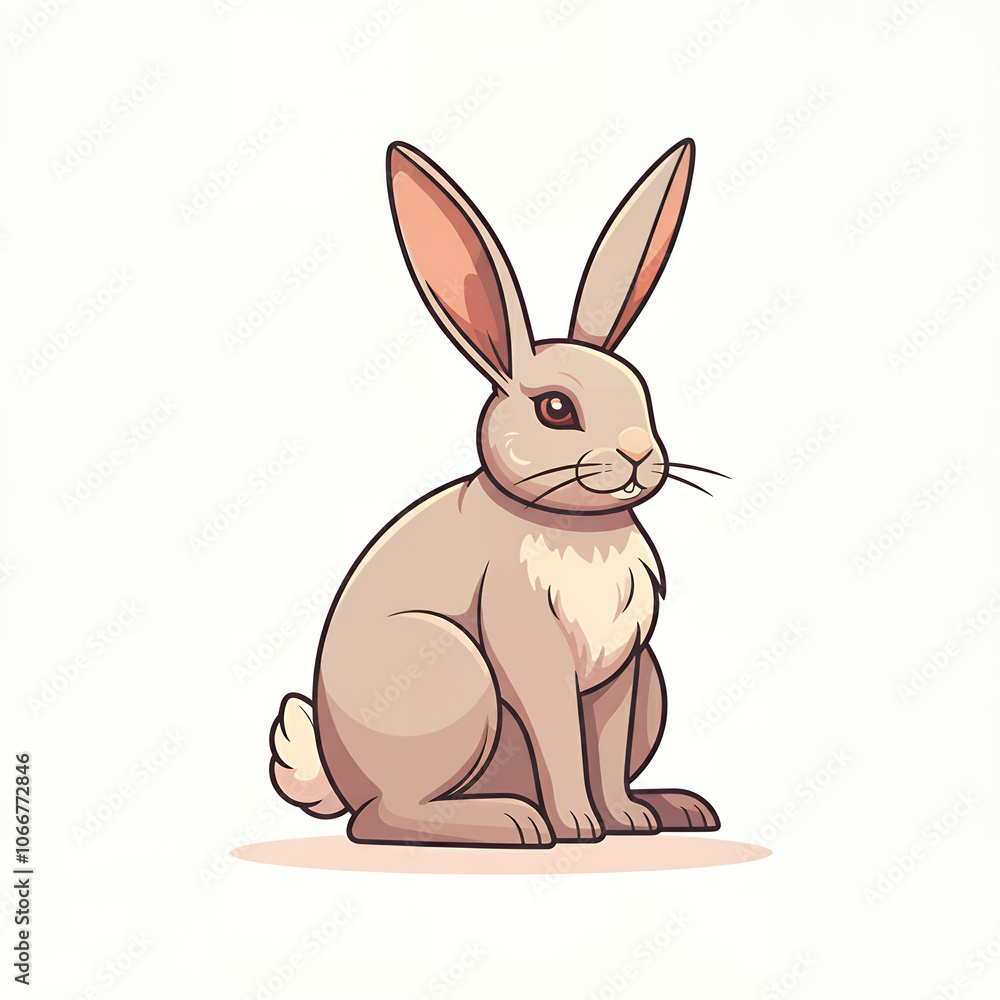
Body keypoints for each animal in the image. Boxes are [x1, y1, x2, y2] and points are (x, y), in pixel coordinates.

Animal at [269, 137, 725, 847]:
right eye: (557, 409)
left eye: (642, 391)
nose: (639, 458)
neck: (570, 525)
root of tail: (339, 777)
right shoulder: (531, 653)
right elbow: (563, 744)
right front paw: (578, 828)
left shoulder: (621, 674)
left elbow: (604, 752)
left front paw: (626, 821)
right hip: (454, 672)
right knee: (381, 818)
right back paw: (512, 822)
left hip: (647, 677)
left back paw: (672, 807)